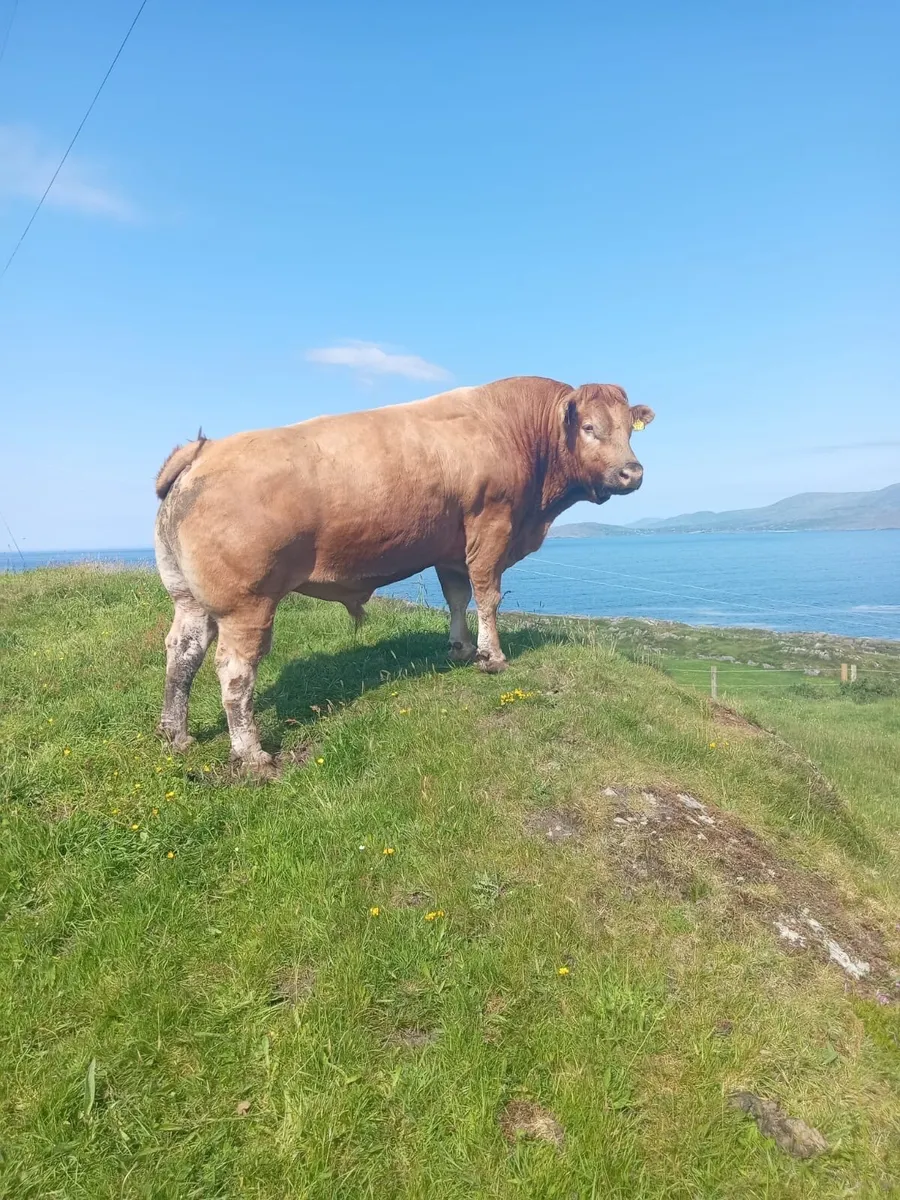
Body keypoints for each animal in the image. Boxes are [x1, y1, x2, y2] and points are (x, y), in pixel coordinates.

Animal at [153, 376, 654, 772]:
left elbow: (457, 596)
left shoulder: (451, 548)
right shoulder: (491, 527)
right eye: (589, 428)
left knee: (183, 651)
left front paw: (460, 648)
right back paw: (252, 755)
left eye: (628, 428)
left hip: (187, 596)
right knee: (234, 671)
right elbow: (487, 595)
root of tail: (205, 449)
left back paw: (175, 733)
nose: (632, 473)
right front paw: (491, 656)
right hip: (246, 604)